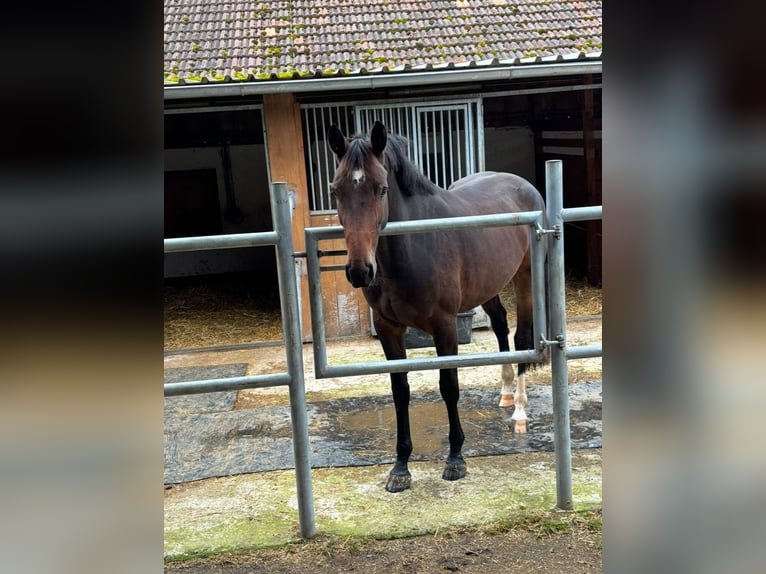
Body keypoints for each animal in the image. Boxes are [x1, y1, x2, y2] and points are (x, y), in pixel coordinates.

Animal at [328, 122, 548, 496]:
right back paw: (505, 394)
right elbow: (400, 391)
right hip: (487, 284)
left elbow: (449, 387)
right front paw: (400, 467)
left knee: (521, 339)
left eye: (382, 189)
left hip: (526, 277)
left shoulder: (445, 327)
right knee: (500, 325)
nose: (359, 271)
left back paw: (519, 412)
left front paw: (455, 459)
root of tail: (524, 186)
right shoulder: (388, 329)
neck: (415, 242)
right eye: (336, 190)